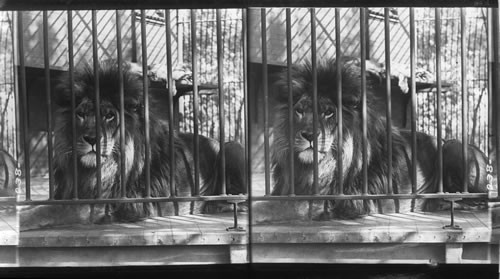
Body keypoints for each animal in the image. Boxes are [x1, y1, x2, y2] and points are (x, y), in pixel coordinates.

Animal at [19, 61, 246, 232]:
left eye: (109, 115)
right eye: (81, 114)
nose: (91, 138)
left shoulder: (105, 203)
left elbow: (49, 211)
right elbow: (41, 205)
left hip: (232, 147)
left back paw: (218, 202)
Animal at [252, 58, 490, 224]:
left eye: (329, 113)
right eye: (300, 111)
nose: (309, 135)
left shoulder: (341, 200)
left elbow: (281, 206)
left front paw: (251, 210)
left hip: (453, 146)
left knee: (479, 198)